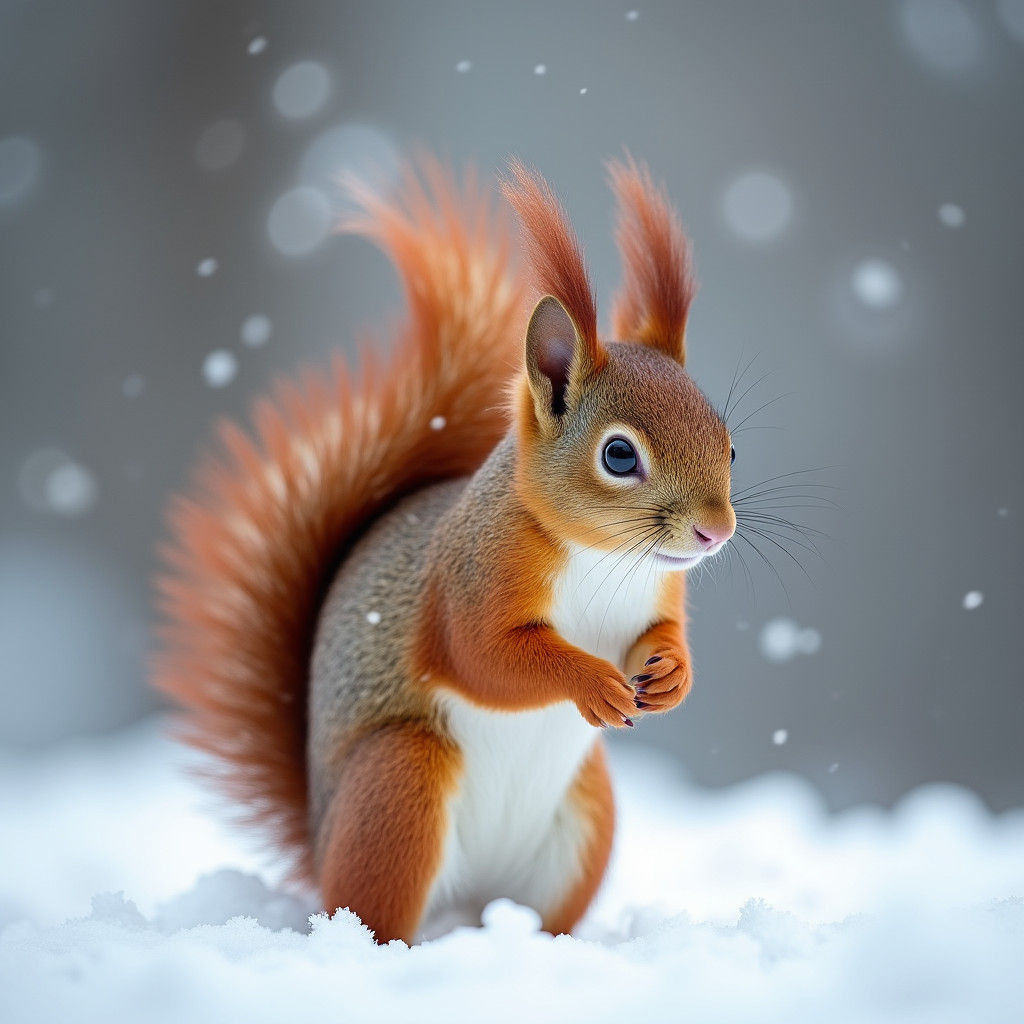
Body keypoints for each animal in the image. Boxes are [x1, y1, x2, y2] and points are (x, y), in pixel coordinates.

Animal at [154, 155, 736, 945]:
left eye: (729, 444)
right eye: (619, 455)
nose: (716, 532)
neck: (604, 561)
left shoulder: (660, 592)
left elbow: (663, 633)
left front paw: (672, 674)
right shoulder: (472, 578)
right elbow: (484, 657)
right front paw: (590, 680)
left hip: (586, 820)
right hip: (403, 784)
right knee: (378, 907)